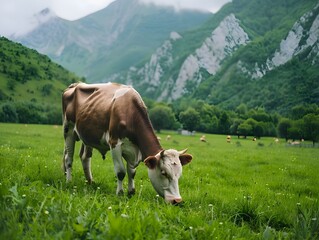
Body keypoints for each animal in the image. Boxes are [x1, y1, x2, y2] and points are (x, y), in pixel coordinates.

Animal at [62, 83, 192, 204]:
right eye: (163, 173)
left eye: (179, 174)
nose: (177, 200)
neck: (129, 112)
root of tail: (76, 84)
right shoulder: (115, 143)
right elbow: (121, 172)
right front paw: (120, 193)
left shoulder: (134, 150)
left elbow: (132, 172)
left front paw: (131, 192)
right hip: (68, 129)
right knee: (69, 158)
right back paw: (69, 181)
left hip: (87, 136)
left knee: (85, 157)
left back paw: (90, 182)